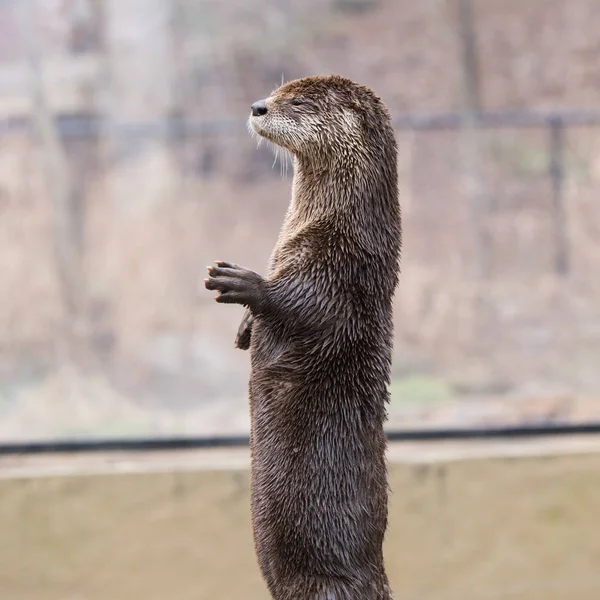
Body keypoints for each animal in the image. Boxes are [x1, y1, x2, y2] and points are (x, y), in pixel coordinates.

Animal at [204, 75, 400, 600]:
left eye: (298, 102)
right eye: (276, 91)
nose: (258, 106)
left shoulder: (341, 264)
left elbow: (304, 303)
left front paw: (244, 283)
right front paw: (245, 328)